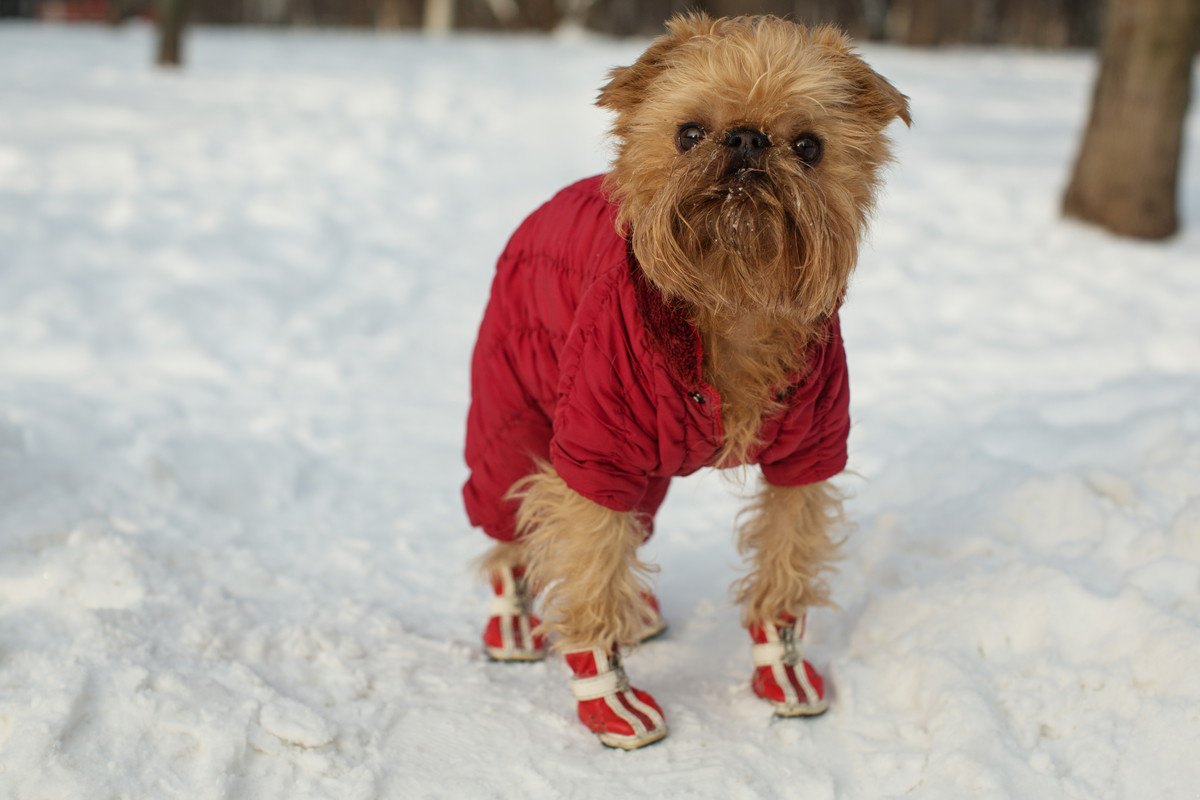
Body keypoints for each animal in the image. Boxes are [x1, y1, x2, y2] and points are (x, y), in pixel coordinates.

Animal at [463, 14, 902, 753]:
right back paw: (516, 619)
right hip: (513, 406)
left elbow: (784, 560)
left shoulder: (808, 454)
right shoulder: (596, 451)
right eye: (689, 134)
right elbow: (588, 567)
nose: (747, 138)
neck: (733, 300)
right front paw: (609, 697)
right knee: (514, 515)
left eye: (808, 147)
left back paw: (636, 611)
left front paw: (781, 667)